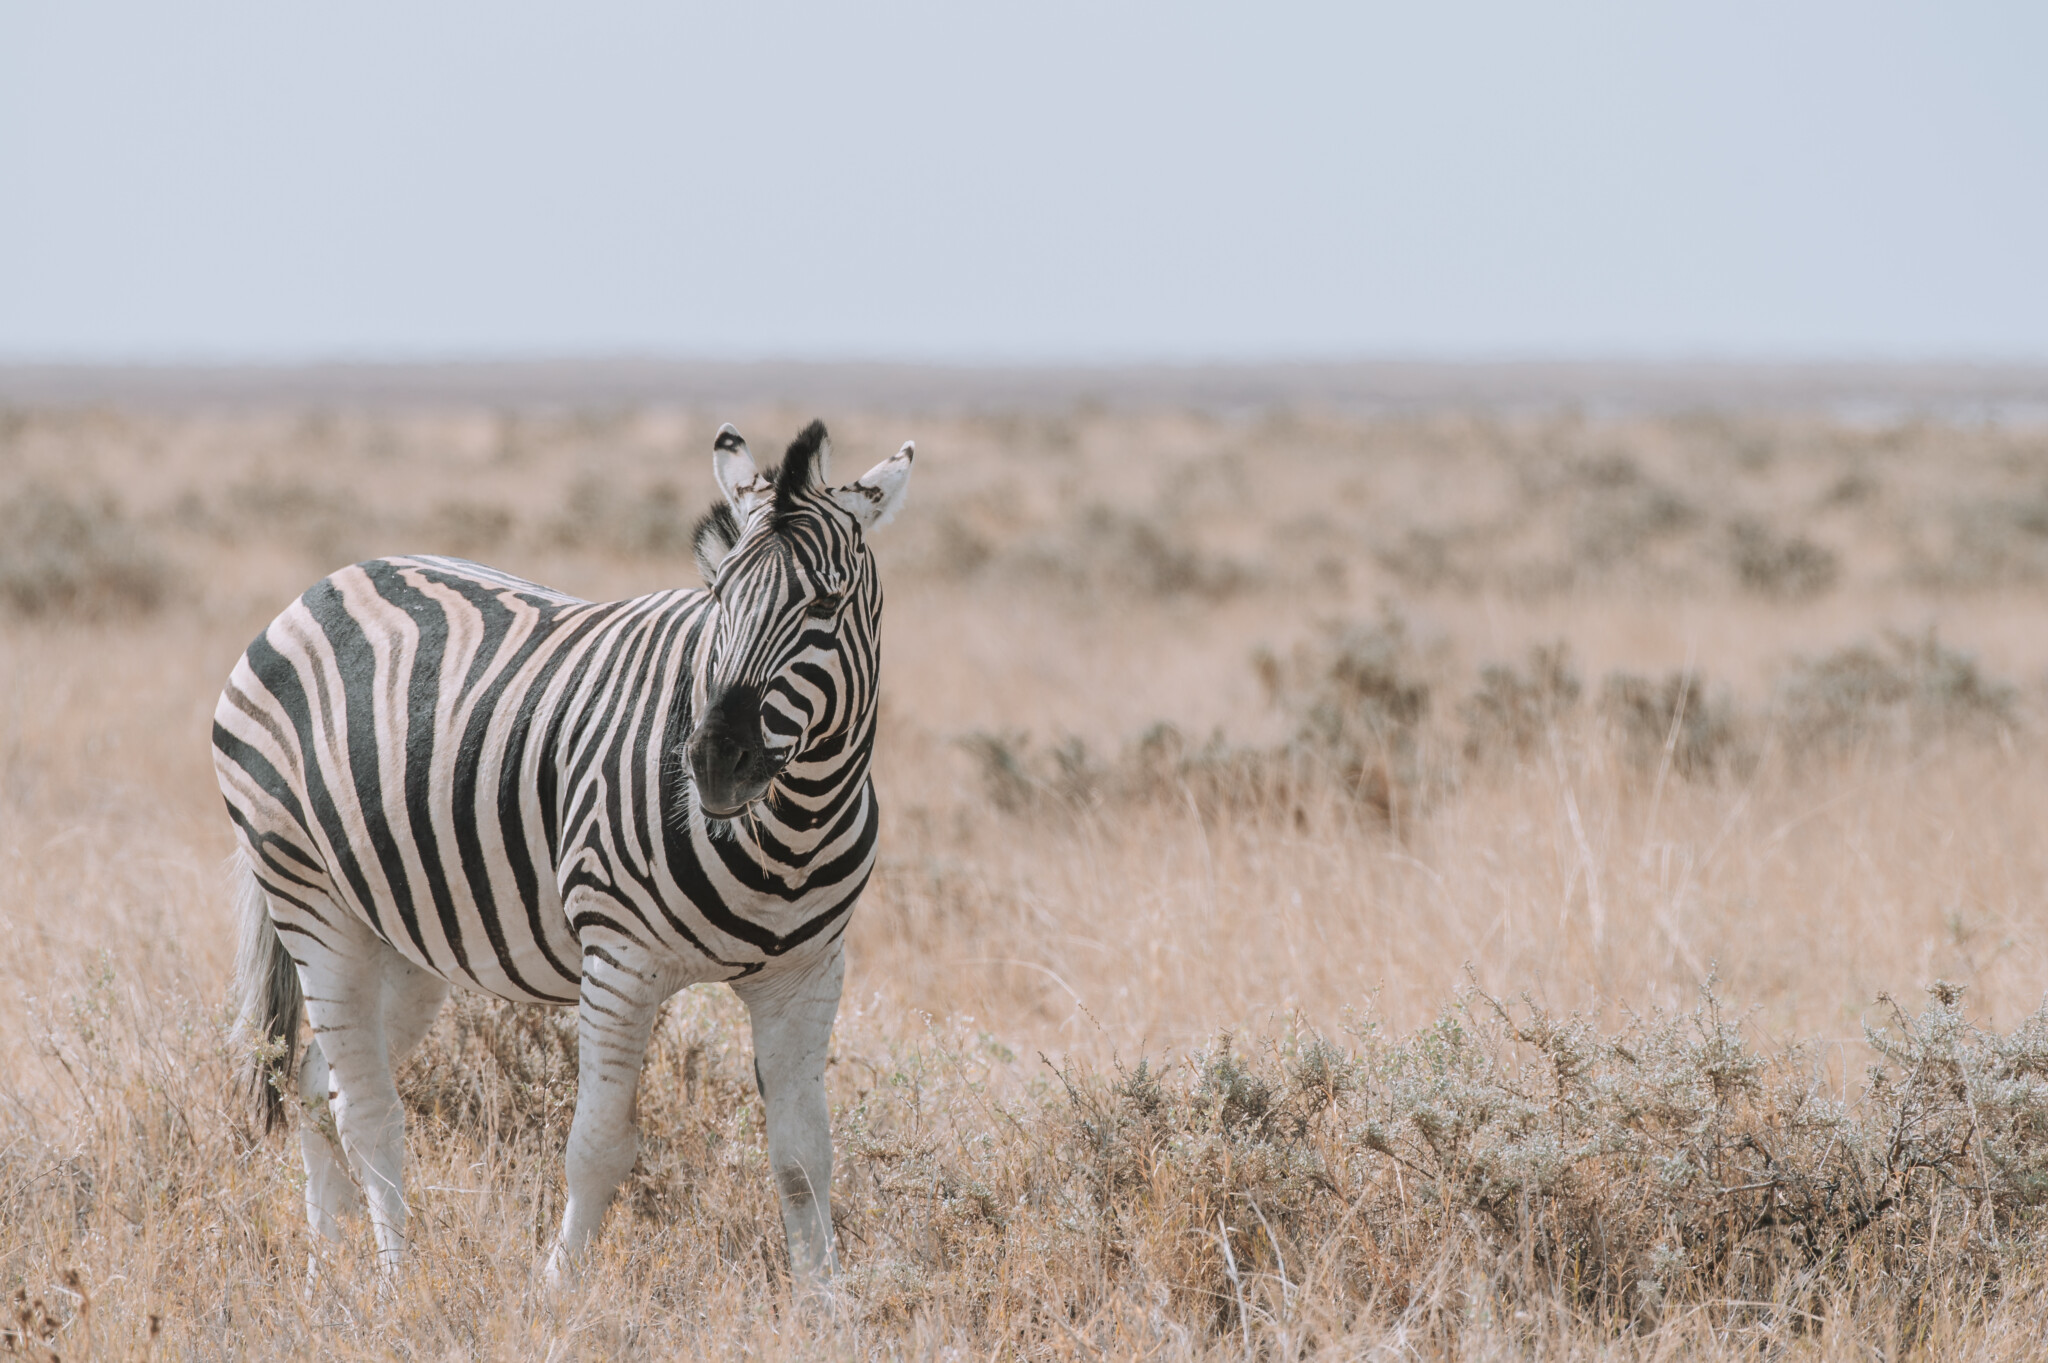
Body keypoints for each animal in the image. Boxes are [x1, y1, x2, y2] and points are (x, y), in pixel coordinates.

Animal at [214, 419, 913, 1277]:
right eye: (718, 594)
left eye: (825, 602)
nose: (714, 761)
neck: (790, 830)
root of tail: (324, 585)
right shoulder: (620, 961)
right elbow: (598, 1147)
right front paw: (557, 1287)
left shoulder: (807, 974)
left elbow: (804, 1158)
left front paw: (824, 1299)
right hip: (310, 897)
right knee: (367, 1109)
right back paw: (394, 1282)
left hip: (405, 934)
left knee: (321, 1078)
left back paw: (329, 1263)